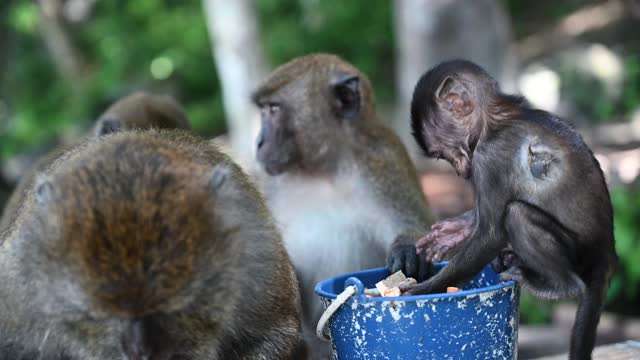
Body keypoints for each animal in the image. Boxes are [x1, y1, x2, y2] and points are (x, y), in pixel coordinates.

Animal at [0, 130, 304, 360]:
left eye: (178, 307)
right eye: (100, 312)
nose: (140, 352)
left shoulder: (259, 260)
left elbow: (277, 333)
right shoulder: (18, 289)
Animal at [251, 52, 436, 358]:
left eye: (274, 109)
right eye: (264, 109)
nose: (259, 143)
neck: (324, 168)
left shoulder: (384, 162)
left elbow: (417, 225)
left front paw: (410, 251)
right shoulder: (267, 180)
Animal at [408, 59, 616, 360]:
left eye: (439, 154)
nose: (458, 170)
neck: (496, 120)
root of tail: (606, 257)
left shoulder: (488, 157)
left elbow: (490, 234)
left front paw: (420, 290)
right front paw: (452, 232)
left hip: (578, 255)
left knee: (517, 214)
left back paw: (558, 285)